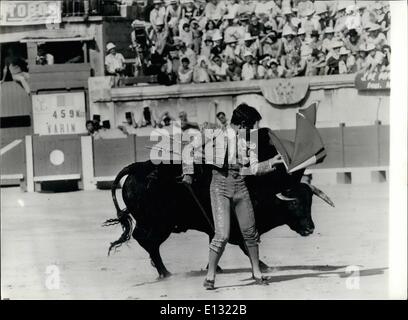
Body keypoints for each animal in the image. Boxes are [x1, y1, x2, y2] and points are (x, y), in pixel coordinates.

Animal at [103, 131, 334, 278]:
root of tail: (136, 168)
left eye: (310, 203)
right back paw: (164, 272)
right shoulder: (240, 227)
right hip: (158, 224)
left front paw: (213, 267)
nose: (310, 228)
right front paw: (265, 267)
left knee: (145, 241)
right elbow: (245, 245)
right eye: (294, 205)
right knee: (146, 240)